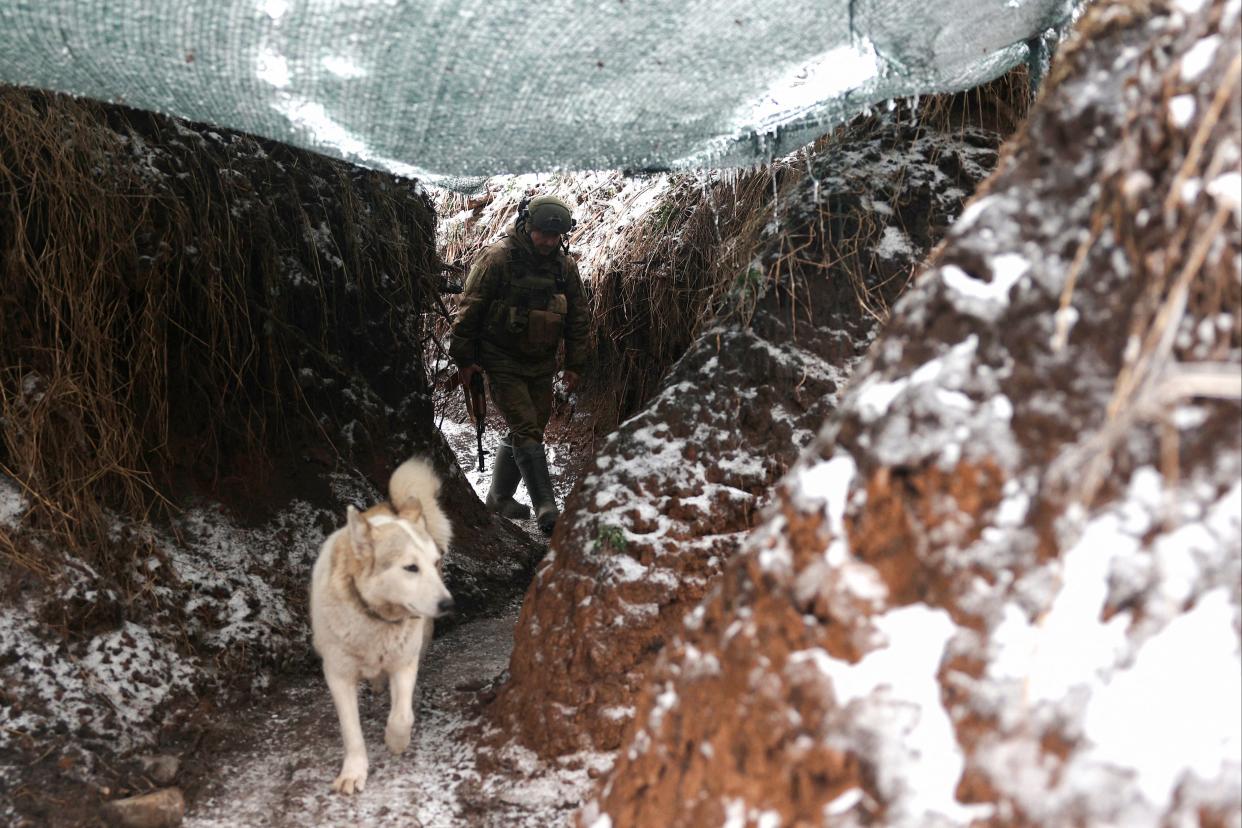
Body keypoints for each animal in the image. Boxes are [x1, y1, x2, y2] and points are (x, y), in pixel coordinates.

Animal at [309, 456, 454, 794]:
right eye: (410, 568)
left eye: (434, 563)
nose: (448, 604)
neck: (375, 620)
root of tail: (393, 507)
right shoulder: (338, 676)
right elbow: (351, 732)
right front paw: (354, 772)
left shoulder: (404, 662)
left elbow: (402, 716)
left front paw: (395, 741)